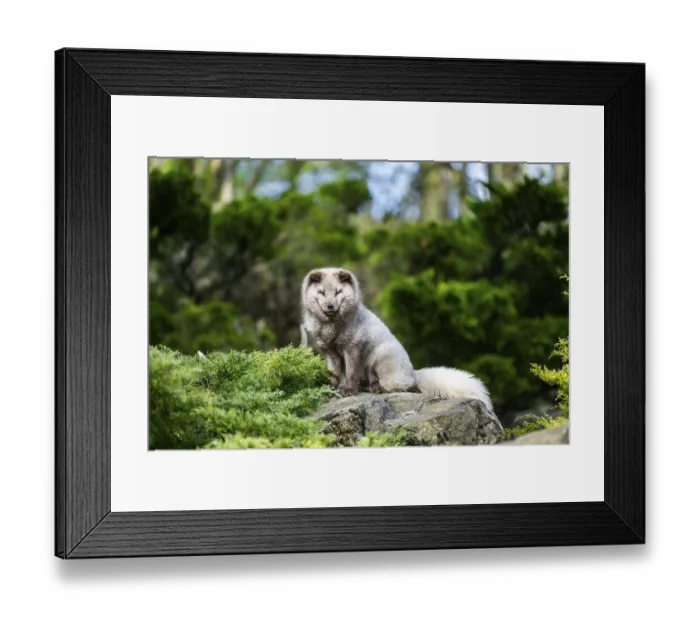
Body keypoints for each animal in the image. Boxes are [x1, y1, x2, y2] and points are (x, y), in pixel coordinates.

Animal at [300, 267, 494, 413]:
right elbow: (333, 373)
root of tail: (413, 372)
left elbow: (350, 373)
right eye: (322, 292)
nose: (330, 306)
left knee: (406, 387)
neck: (330, 328)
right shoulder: (330, 352)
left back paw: (377, 388)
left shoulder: (352, 348)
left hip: (381, 358)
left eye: (338, 292)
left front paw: (349, 390)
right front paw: (329, 389)